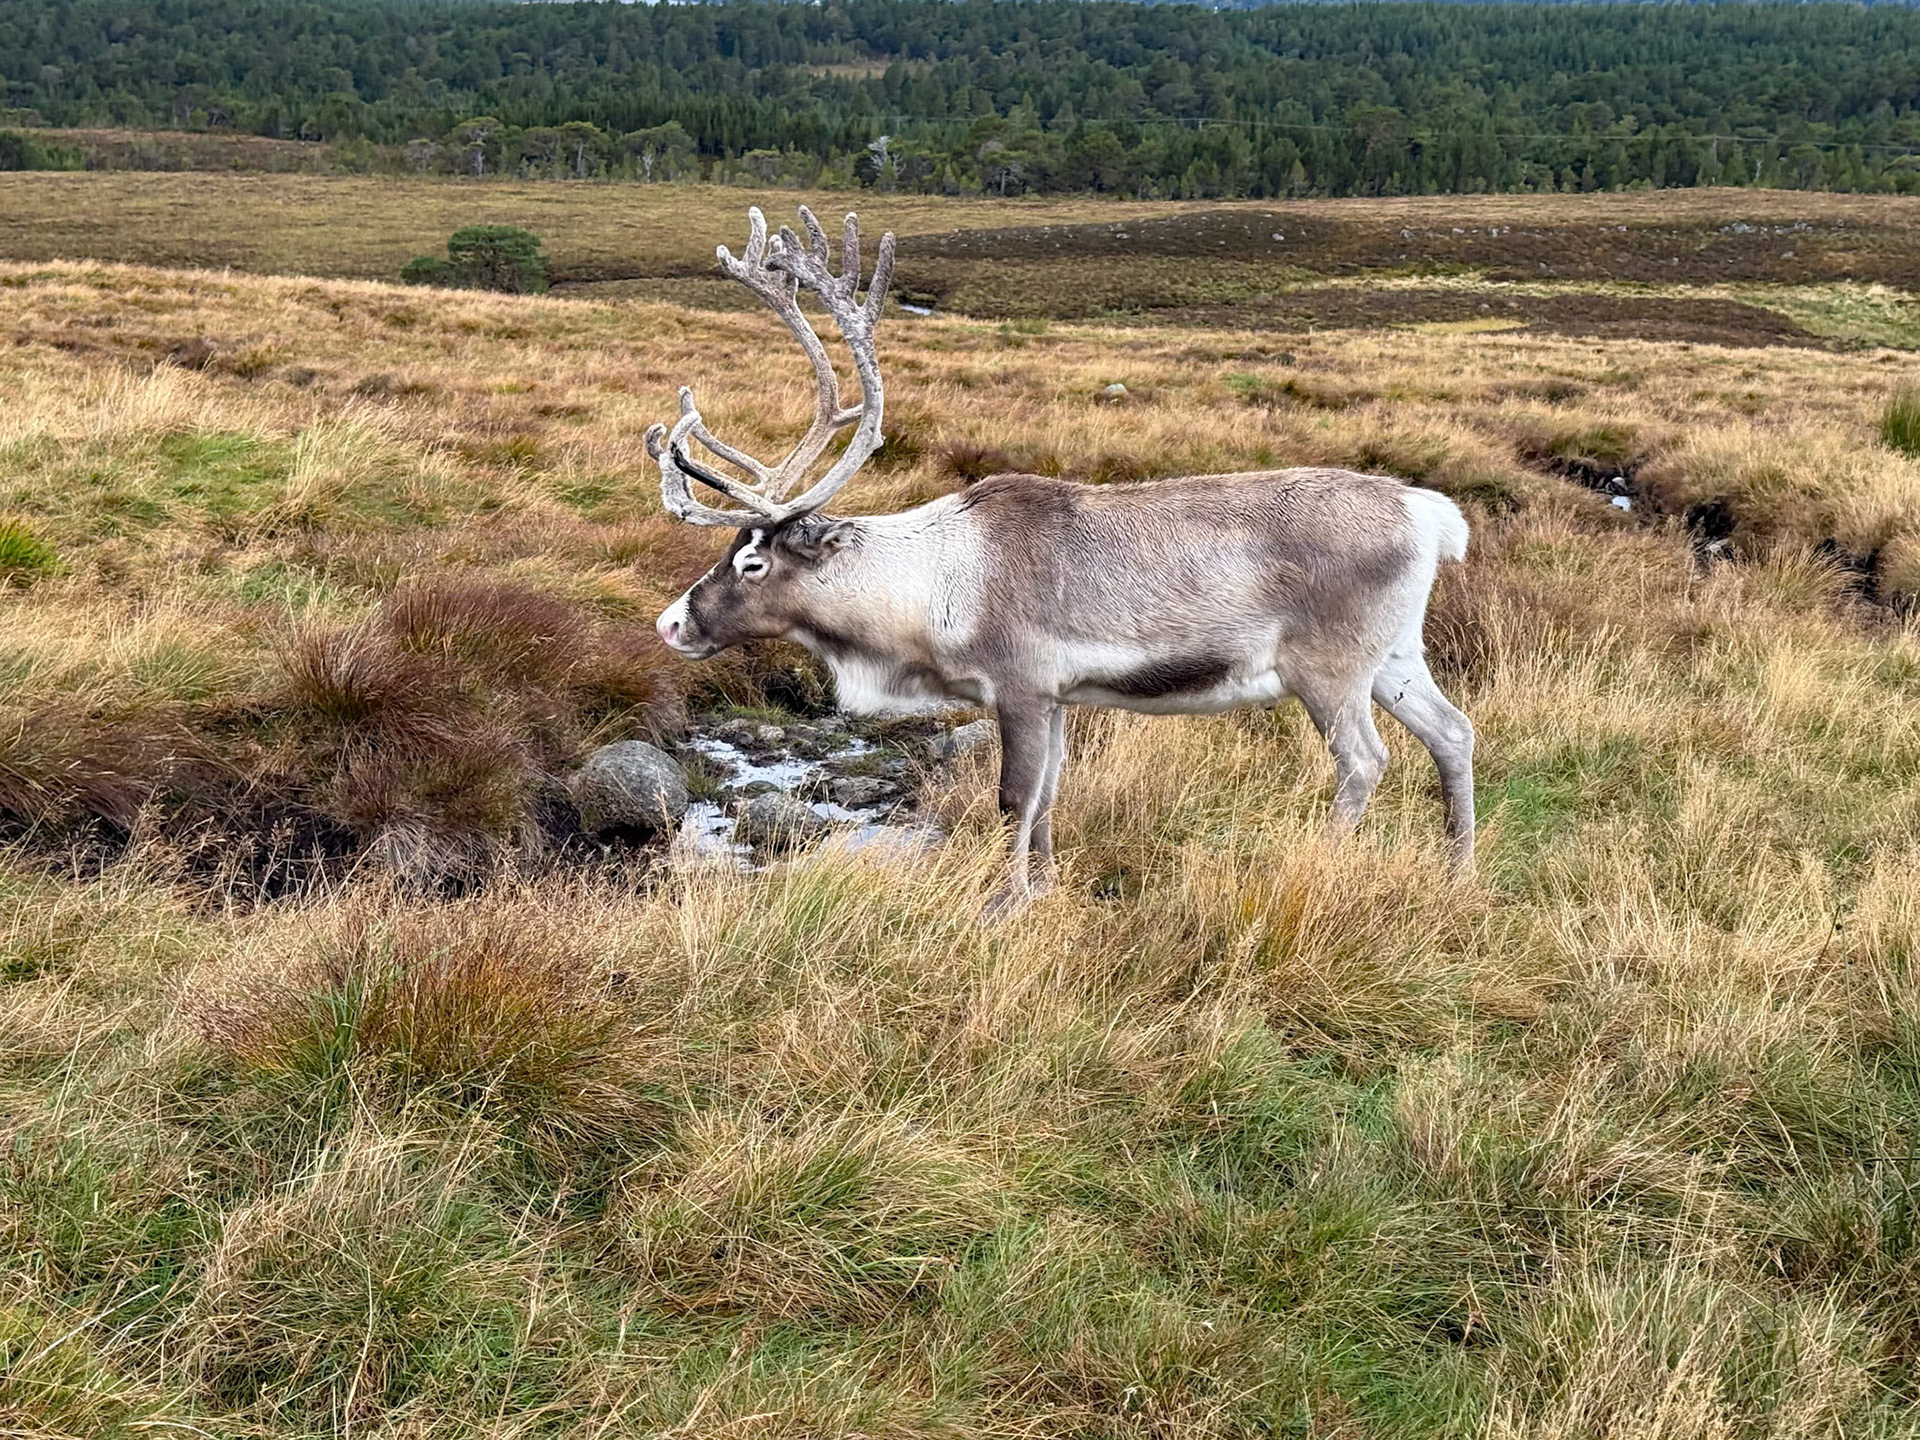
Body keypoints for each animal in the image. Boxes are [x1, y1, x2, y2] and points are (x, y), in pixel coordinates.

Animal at [649, 207, 1476, 913]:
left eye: (754, 566)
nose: (670, 624)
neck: (928, 593)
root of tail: (1429, 515)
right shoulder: (1058, 697)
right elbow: (1048, 796)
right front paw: (1044, 887)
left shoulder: (1019, 684)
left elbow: (1014, 797)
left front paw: (1004, 901)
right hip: (1396, 655)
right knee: (1454, 732)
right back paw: (1457, 868)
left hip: (1329, 667)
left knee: (1364, 760)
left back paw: (1327, 860)